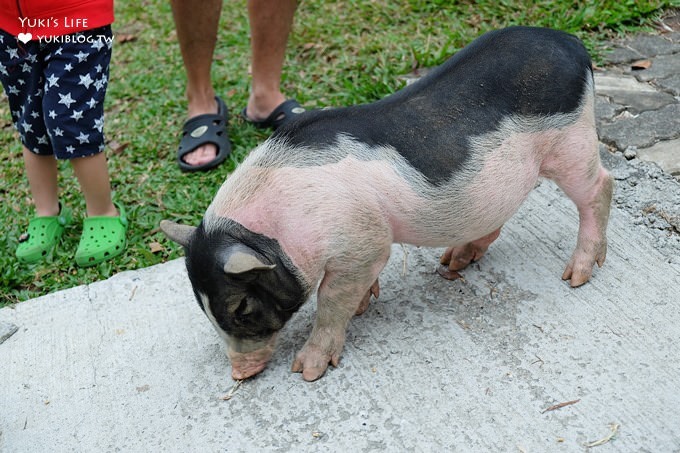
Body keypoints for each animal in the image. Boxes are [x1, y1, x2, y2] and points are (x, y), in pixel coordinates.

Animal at [162, 26, 612, 382]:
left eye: (241, 307)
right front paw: (364, 305)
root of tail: (571, 42)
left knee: (600, 187)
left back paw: (576, 275)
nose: (239, 374)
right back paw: (453, 261)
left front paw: (307, 370)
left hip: (572, 140)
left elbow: (331, 299)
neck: (279, 229)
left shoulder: (365, 241)